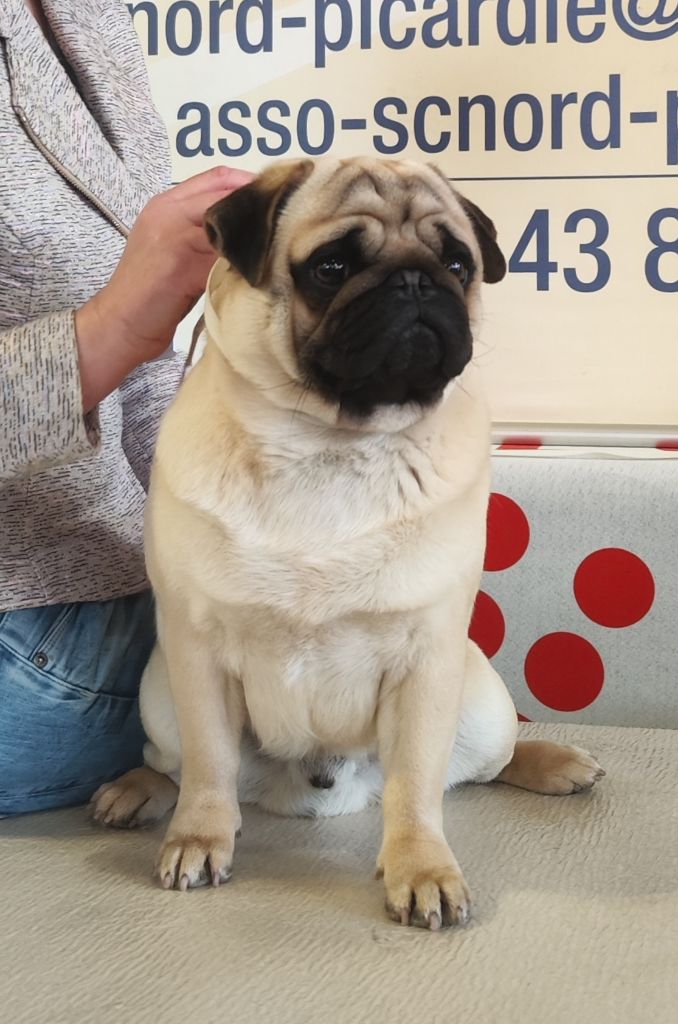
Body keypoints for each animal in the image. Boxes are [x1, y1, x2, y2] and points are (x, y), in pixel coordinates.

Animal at [93, 157, 604, 930]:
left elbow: (417, 787)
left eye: (459, 264)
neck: (329, 442)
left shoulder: (426, 659)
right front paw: (199, 838)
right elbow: (210, 767)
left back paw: (555, 764)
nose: (417, 280)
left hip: (480, 702)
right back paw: (136, 790)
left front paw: (422, 869)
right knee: (177, 764)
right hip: (160, 694)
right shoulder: (196, 653)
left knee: (477, 765)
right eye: (330, 267)